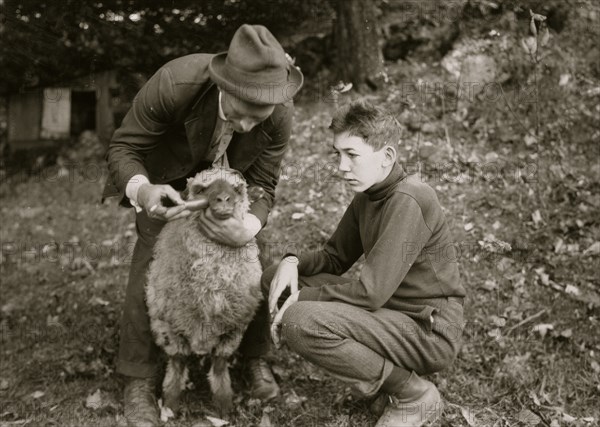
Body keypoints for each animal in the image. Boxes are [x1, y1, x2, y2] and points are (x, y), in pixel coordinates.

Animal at [145, 167, 262, 418]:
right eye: (200, 189)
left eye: (237, 188)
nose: (224, 200)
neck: (210, 289)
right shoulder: (169, 327)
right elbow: (177, 363)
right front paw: (169, 404)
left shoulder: (233, 330)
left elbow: (219, 365)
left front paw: (224, 406)